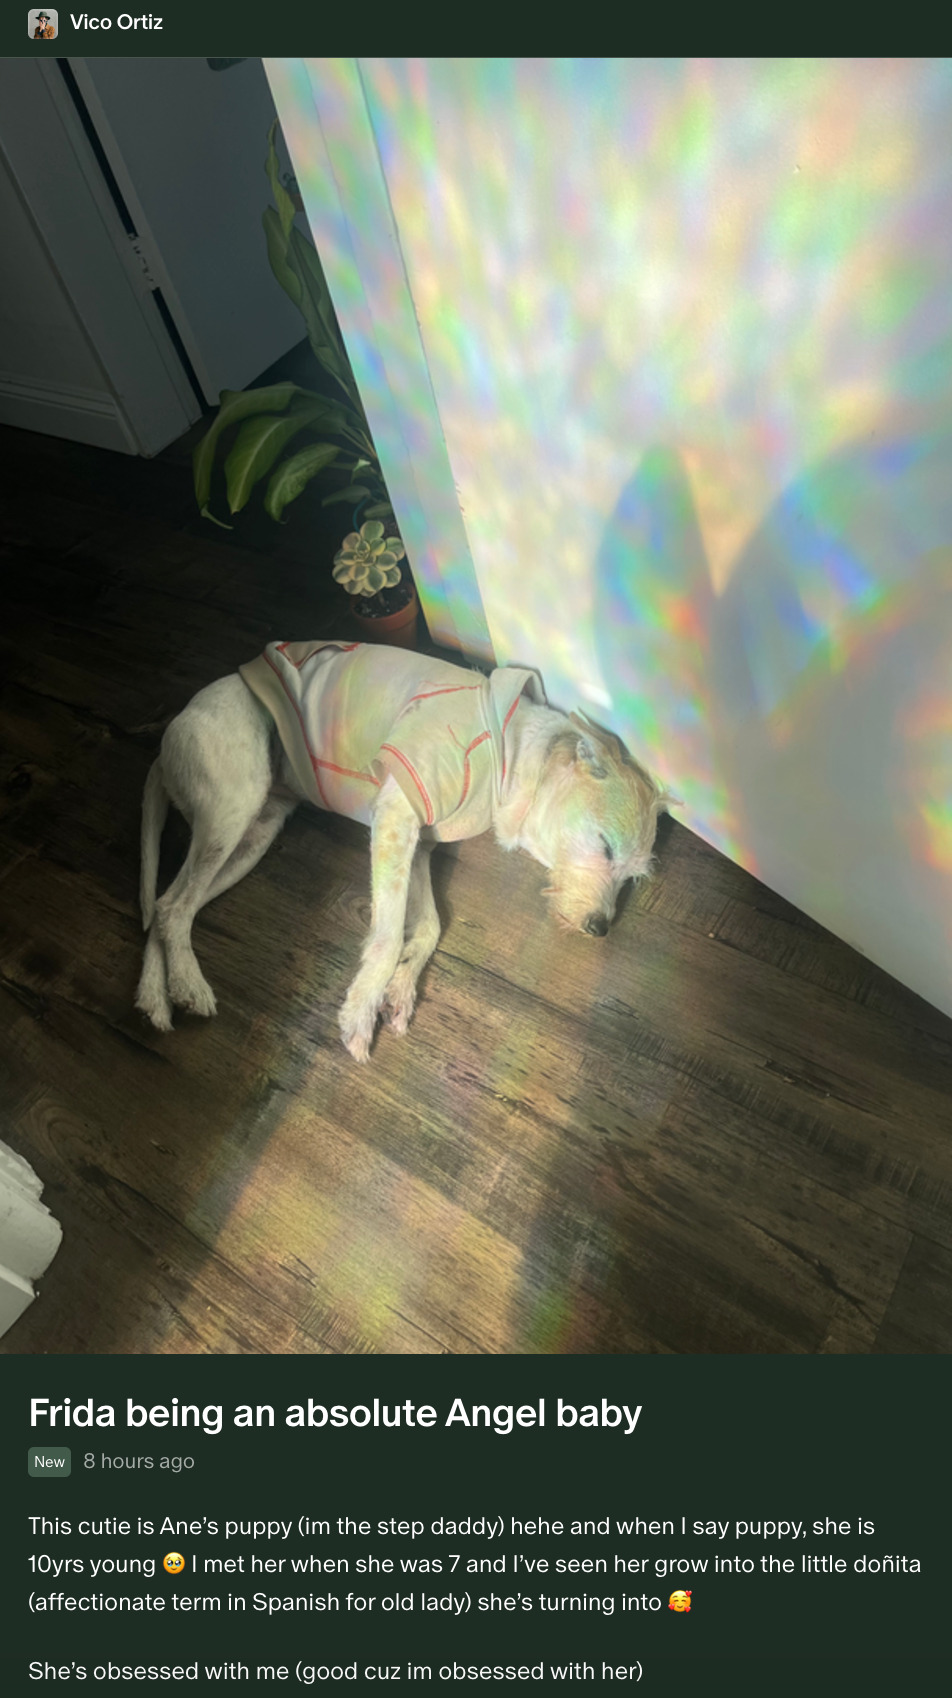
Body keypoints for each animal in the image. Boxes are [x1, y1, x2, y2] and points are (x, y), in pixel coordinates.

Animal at [134, 638, 672, 1052]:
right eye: (605, 846)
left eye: (631, 878)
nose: (600, 928)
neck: (511, 752)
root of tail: (163, 744)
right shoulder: (397, 816)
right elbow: (389, 934)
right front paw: (360, 1011)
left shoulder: (419, 847)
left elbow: (430, 927)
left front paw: (401, 989)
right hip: (233, 809)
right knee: (174, 904)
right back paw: (188, 984)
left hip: (252, 839)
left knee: (165, 907)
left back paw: (156, 997)